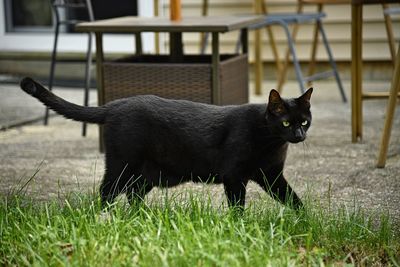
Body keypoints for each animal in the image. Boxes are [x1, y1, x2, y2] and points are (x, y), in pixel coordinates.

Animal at [19, 78, 312, 210]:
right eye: (286, 123)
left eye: (304, 121)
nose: (299, 135)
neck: (271, 143)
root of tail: (115, 104)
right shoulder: (234, 177)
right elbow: (238, 206)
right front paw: (239, 228)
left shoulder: (272, 176)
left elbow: (292, 198)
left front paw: (305, 219)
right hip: (121, 163)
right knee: (107, 191)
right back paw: (103, 219)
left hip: (147, 174)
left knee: (133, 194)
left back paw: (141, 218)